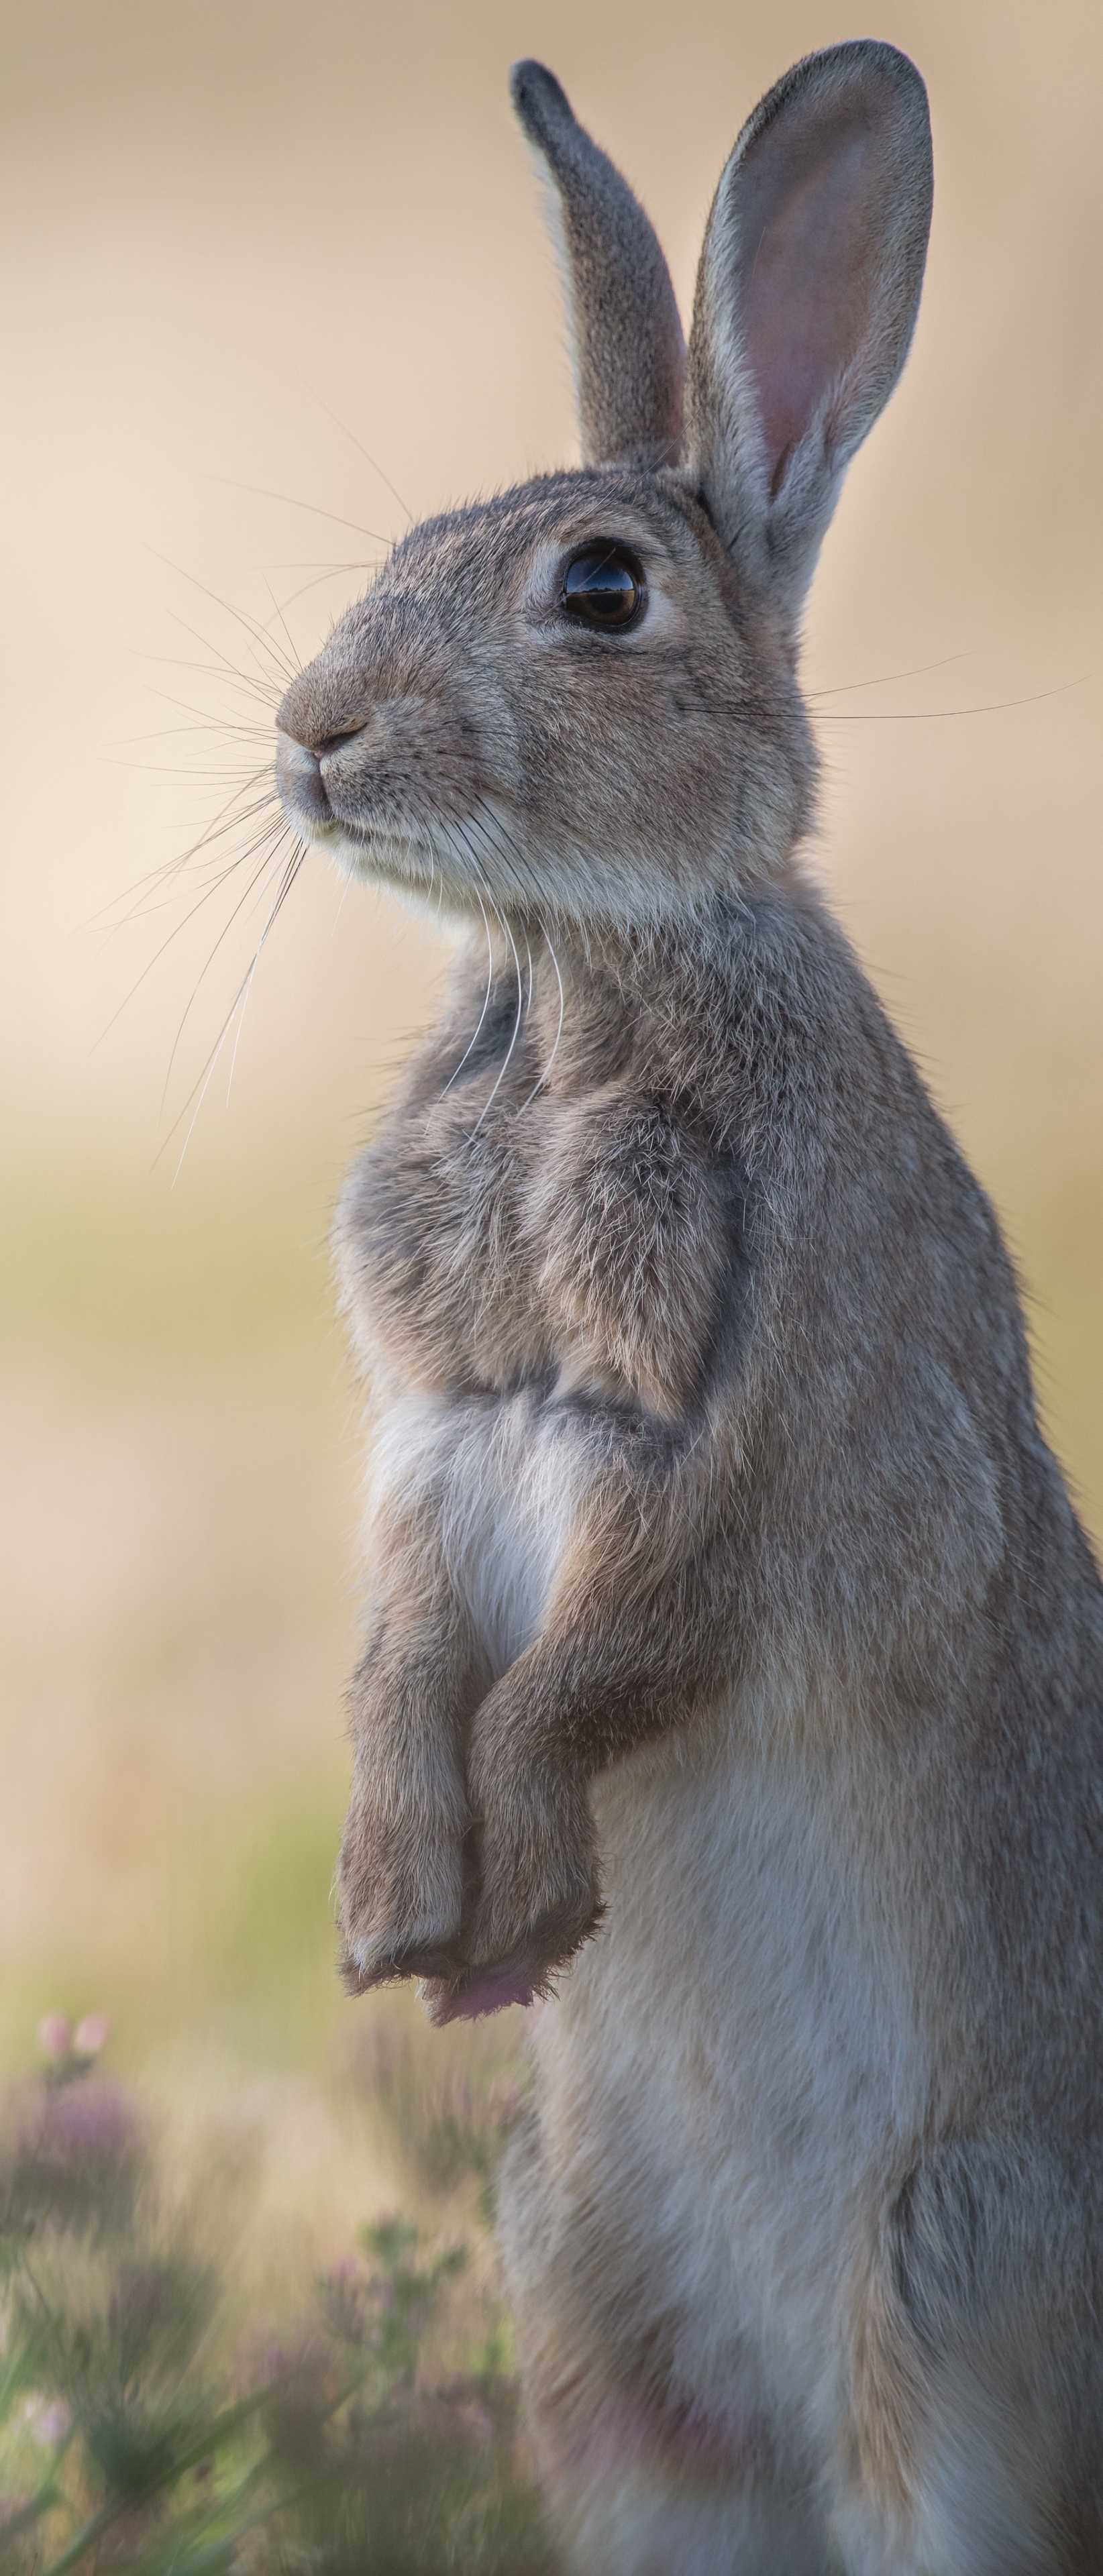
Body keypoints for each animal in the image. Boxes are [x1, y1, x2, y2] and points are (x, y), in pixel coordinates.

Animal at [273, 40, 1103, 2576]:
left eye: (598, 590)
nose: (311, 729)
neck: (578, 969)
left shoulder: (742, 1435)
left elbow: (605, 1658)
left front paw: (525, 1885)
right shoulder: (442, 1428)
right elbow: (402, 1645)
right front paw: (391, 1909)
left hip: (949, 2281)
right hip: (593, 2317)